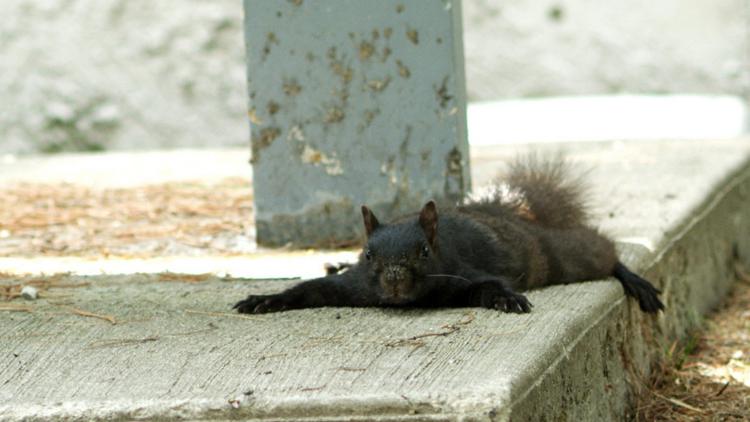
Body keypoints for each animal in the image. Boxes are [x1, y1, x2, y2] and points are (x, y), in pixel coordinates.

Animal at [235, 157, 664, 314]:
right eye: (368, 254)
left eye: (425, 251)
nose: (394, 280)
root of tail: (501, 212)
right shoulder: (355, 286)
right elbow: (310, 290)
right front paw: (264, 299)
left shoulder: (462, 274)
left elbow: (490, 285)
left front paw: (507, 299)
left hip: (552, 257)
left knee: (599, 252)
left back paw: (634, 279)